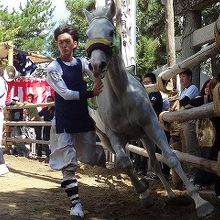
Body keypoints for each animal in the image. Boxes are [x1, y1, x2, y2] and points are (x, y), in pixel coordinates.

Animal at [83, 0, 214, 217]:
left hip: (144, 136)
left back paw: (171, 195)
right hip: (107, 138)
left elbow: (170, 158)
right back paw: (145, 190)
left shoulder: (151, 125)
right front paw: (143, 193)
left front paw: (201, 203)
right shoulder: (114, 135)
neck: (122, 95)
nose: (96, 66)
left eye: (111, 31)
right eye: (87, 34)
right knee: (129, 161)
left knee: (155, 164)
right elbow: (125, 162)